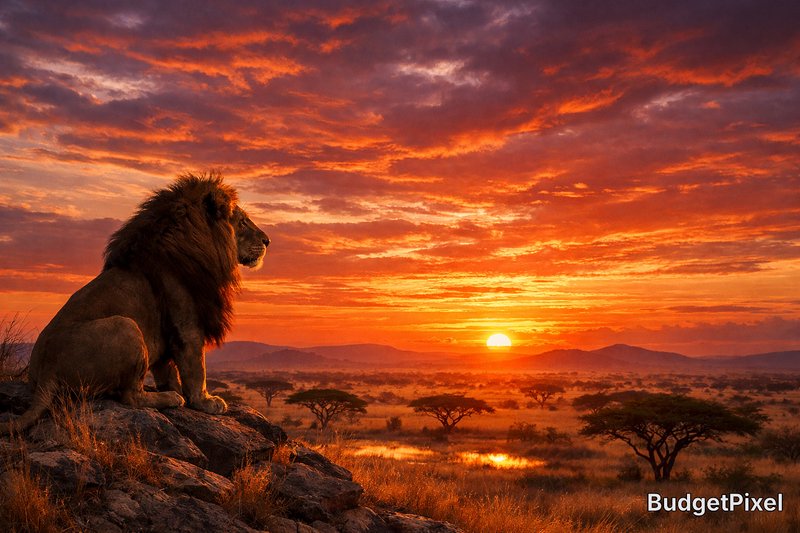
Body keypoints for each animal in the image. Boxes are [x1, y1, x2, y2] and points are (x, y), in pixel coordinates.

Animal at [1, 173, 269, 435]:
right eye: (242, 222)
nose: (268, 240)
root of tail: (46, 376)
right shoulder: (188, 322)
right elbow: (195, 368)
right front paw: (204, 401)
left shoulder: (165, 335)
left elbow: (168, 369)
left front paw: (174, 388)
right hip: (126, 325)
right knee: (131, 397)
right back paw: (170, 398)